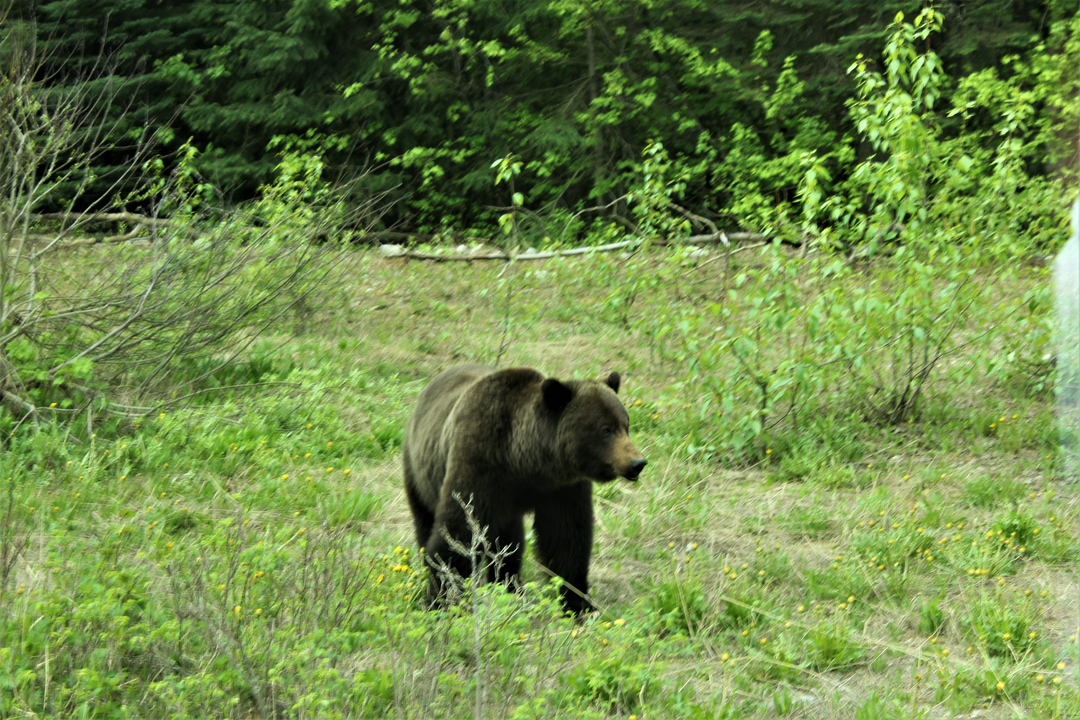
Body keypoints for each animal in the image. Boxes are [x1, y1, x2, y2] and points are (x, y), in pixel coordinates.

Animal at [402, 364, 647, 615]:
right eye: (605, 429)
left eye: (625, 425)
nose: (637, 463)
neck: (524, 460)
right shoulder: (479, 464)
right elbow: (458, 533)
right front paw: (443, 600)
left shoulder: (562, 487)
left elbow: (566, 536)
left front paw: (578, 602)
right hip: (419, 472)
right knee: (425, 520)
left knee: (509, 542)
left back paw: (510, 585)